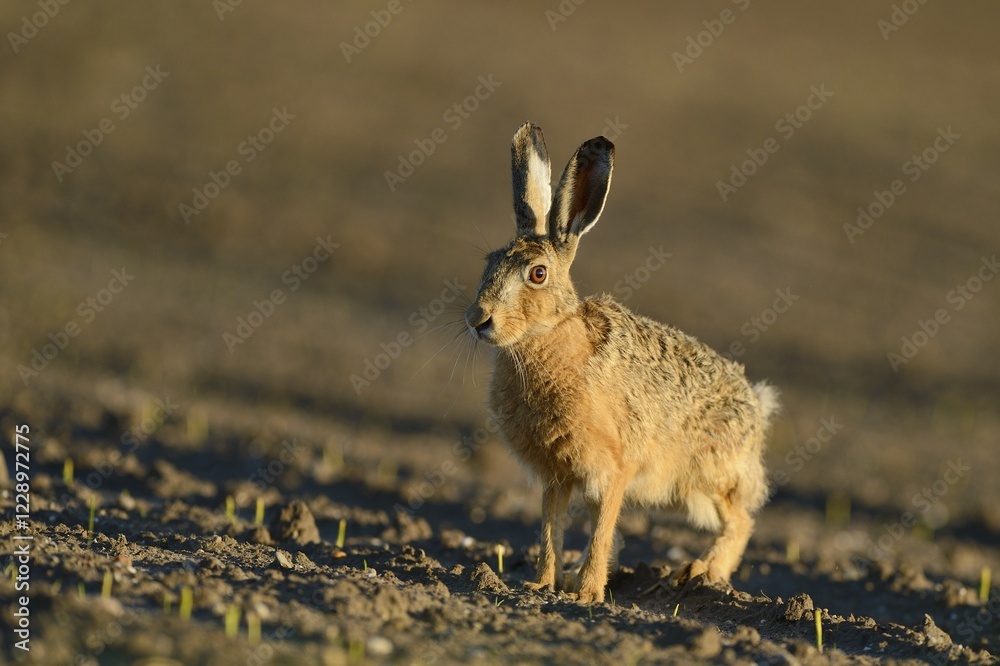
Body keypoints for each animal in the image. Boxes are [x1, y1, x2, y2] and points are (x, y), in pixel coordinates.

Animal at [465, 122, 780, 604]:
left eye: (537, 274)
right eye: (489, 263)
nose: (478, 319)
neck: (549, 339)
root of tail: (757, 407)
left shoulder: (614, 468)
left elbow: (602, 532)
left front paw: (587, 595)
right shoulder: (556, 476)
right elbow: (550, 530)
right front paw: (543, 584)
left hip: (708, 477)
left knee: (741, 521)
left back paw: (700, 574)